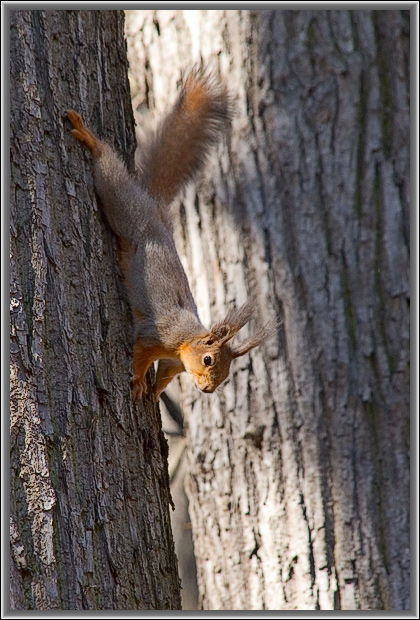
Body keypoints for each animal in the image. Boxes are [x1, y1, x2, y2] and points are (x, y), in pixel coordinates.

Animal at [68, 68, 276, 402]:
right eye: (208, 359)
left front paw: (155, 392)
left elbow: (164, 374)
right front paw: (139, 380)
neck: (184, 342)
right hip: (127, 212)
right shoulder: (156, 335)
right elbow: (140, 354)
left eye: (226, 374)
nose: (207, 389)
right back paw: (92, 141)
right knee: (111, 177)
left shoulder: (172, 362)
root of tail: (156, 213)